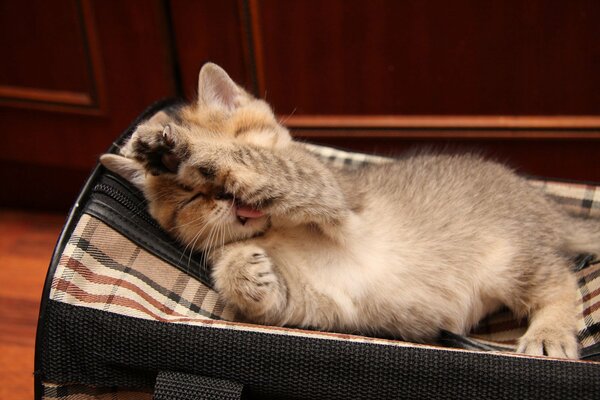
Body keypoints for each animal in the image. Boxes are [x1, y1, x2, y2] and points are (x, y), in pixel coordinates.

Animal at [101, 63, 596, 360]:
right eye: (189, 198)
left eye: (237, 141)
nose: (223, 195)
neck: (275, 231)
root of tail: (546, 206)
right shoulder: (311, 302)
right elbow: (267, 294)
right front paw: (242, 269)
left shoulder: (330, 193)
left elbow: (270, 168)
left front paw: (177, 147)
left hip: (510, 262)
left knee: (562, 281)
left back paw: (550, 334)